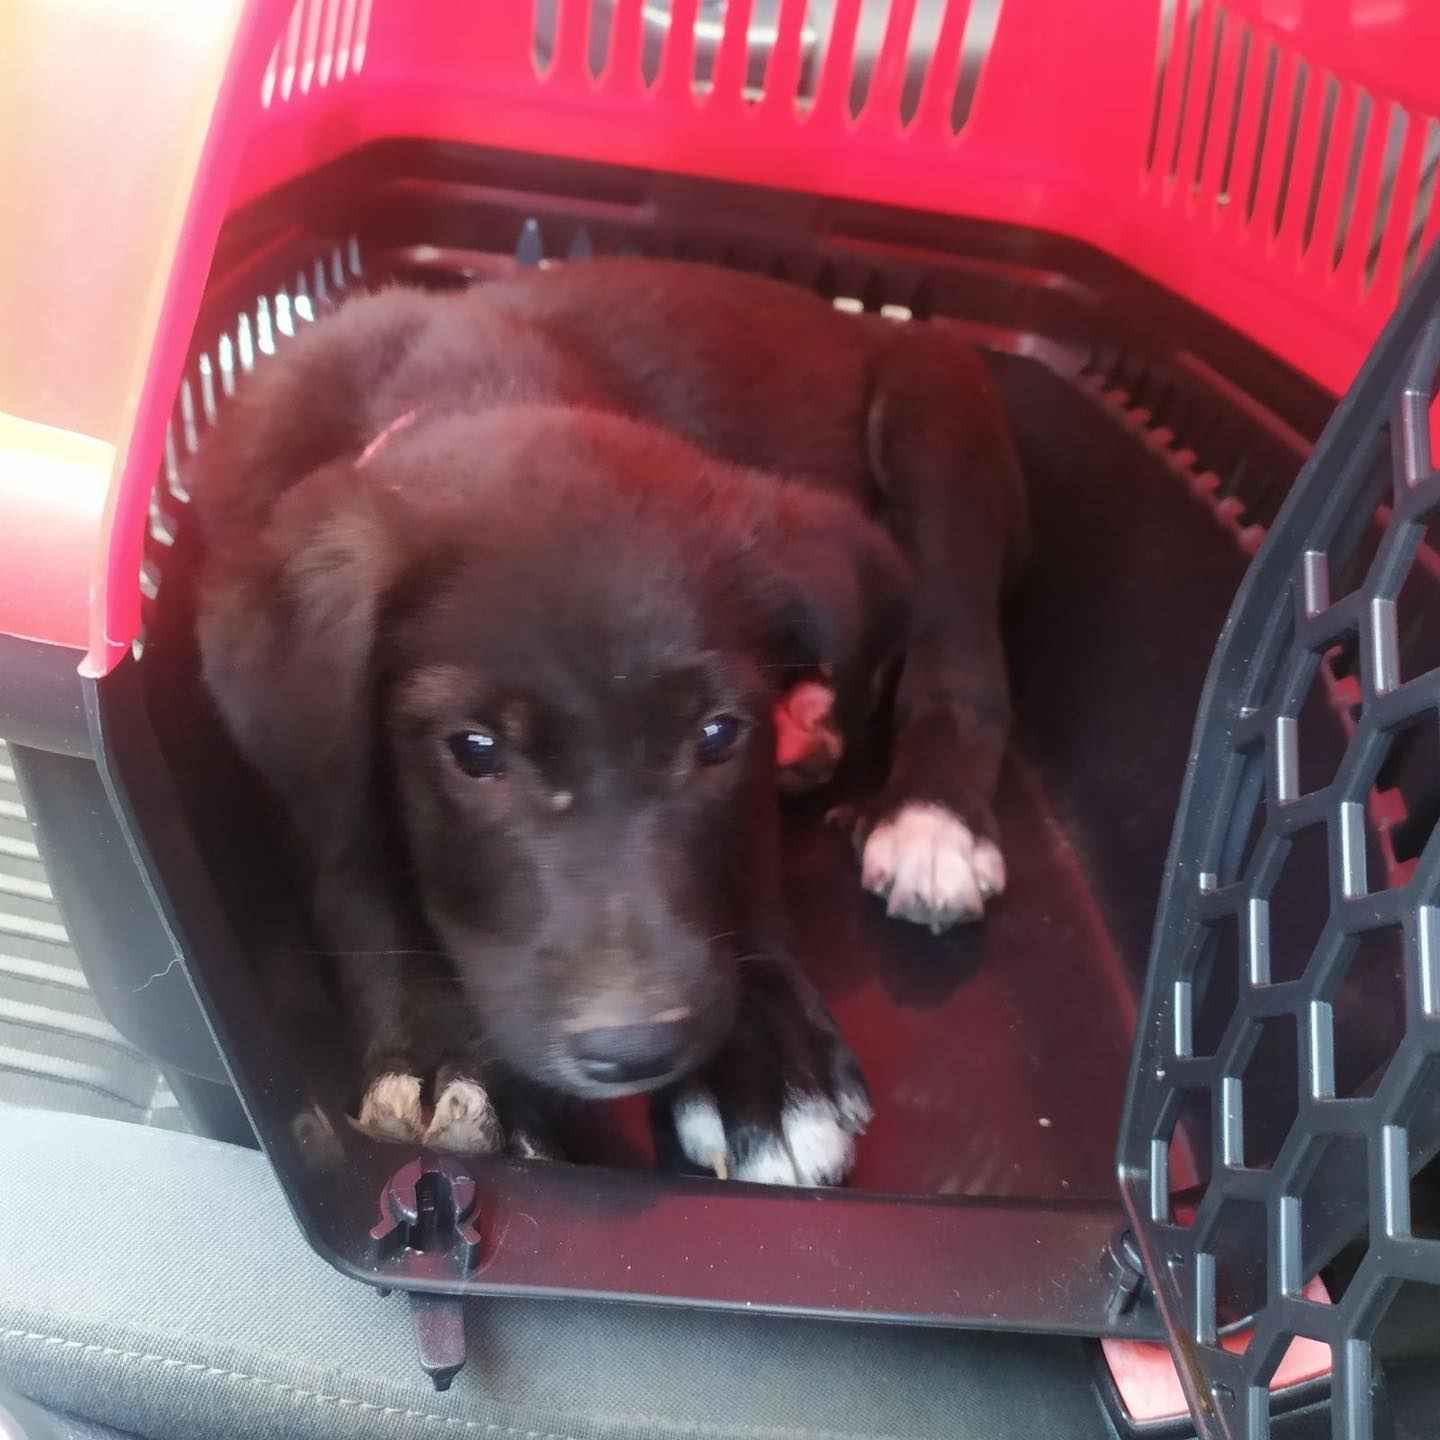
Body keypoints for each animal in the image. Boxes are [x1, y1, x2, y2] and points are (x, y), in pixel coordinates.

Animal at [188, 258, 1027, 1185]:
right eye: (473, 751)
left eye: (716, 736)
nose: (635, 1050)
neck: (471, 386)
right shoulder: (302, 763)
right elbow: (355, 873)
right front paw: (442, 1056)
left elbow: (742, 862)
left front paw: (763, 1071)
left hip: (938, 414)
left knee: (962, 665)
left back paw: (928, 818)